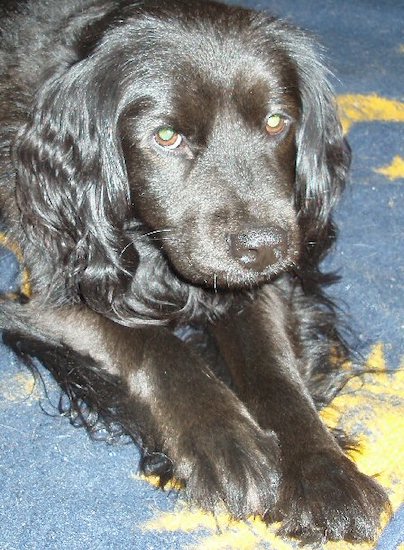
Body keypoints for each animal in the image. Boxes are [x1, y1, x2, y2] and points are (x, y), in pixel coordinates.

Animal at [0, 0, 392, 544]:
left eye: (277, 122)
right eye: (166, 136)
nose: (266, 247)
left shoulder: (257, 285)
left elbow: (272, 367)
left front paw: (324, 476)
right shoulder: (50, 292)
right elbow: (155, 344)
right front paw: (225, 442)